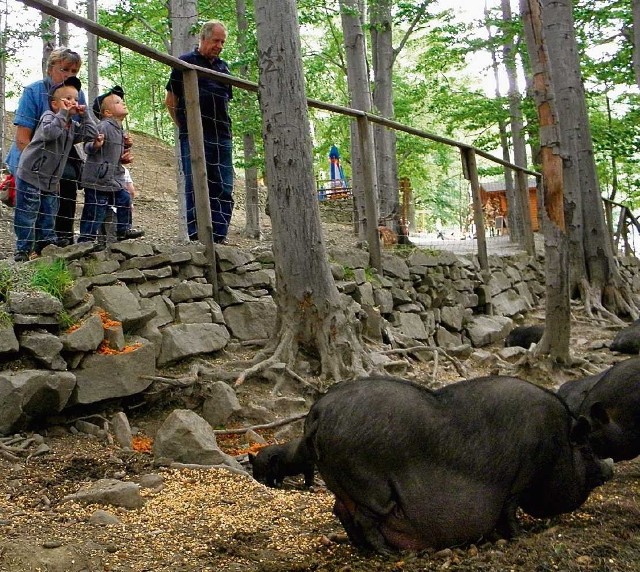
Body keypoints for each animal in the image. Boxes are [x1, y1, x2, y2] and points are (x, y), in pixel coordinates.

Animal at [306, 376, 616, 548]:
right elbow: (509, 510)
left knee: (341, 510)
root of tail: (319, 409)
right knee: (363, 517)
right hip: (369, 484)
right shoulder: (522, 478)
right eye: (587, 451)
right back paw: (387, 552)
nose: (609, 467)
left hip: (343, 481)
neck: (558, 444)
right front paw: (520, 536)